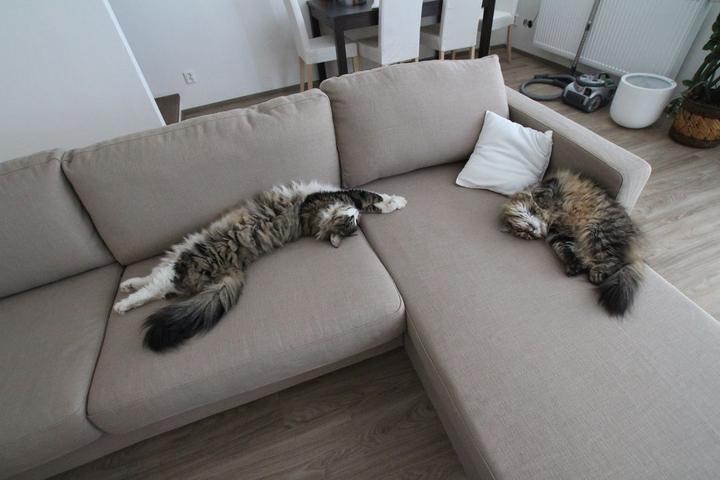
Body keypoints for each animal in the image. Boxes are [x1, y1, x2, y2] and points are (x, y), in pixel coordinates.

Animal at [113, 181, 407, 352]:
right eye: (350, 221)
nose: (354, 216)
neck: (315, 221)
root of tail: (234, 267)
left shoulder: (337, 196)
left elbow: (369, 198)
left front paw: (394, 201)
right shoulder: (332, 197)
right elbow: (372, 199)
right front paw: (397, 201)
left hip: (179, 265)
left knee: (154, 289)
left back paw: (123, 301)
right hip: (180, 260)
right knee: (153, 285)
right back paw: (126, 288)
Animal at [501, 170, 643, 316]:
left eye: (524, 224)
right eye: (526, 234)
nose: (532, 231)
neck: (550, 219)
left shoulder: (551, 186)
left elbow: (541, 196)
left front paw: (539, 202)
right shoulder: (559, 235)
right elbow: (565, 250)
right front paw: (574, 266)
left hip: (598, 231)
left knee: (616, 262)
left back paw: (596, 274)